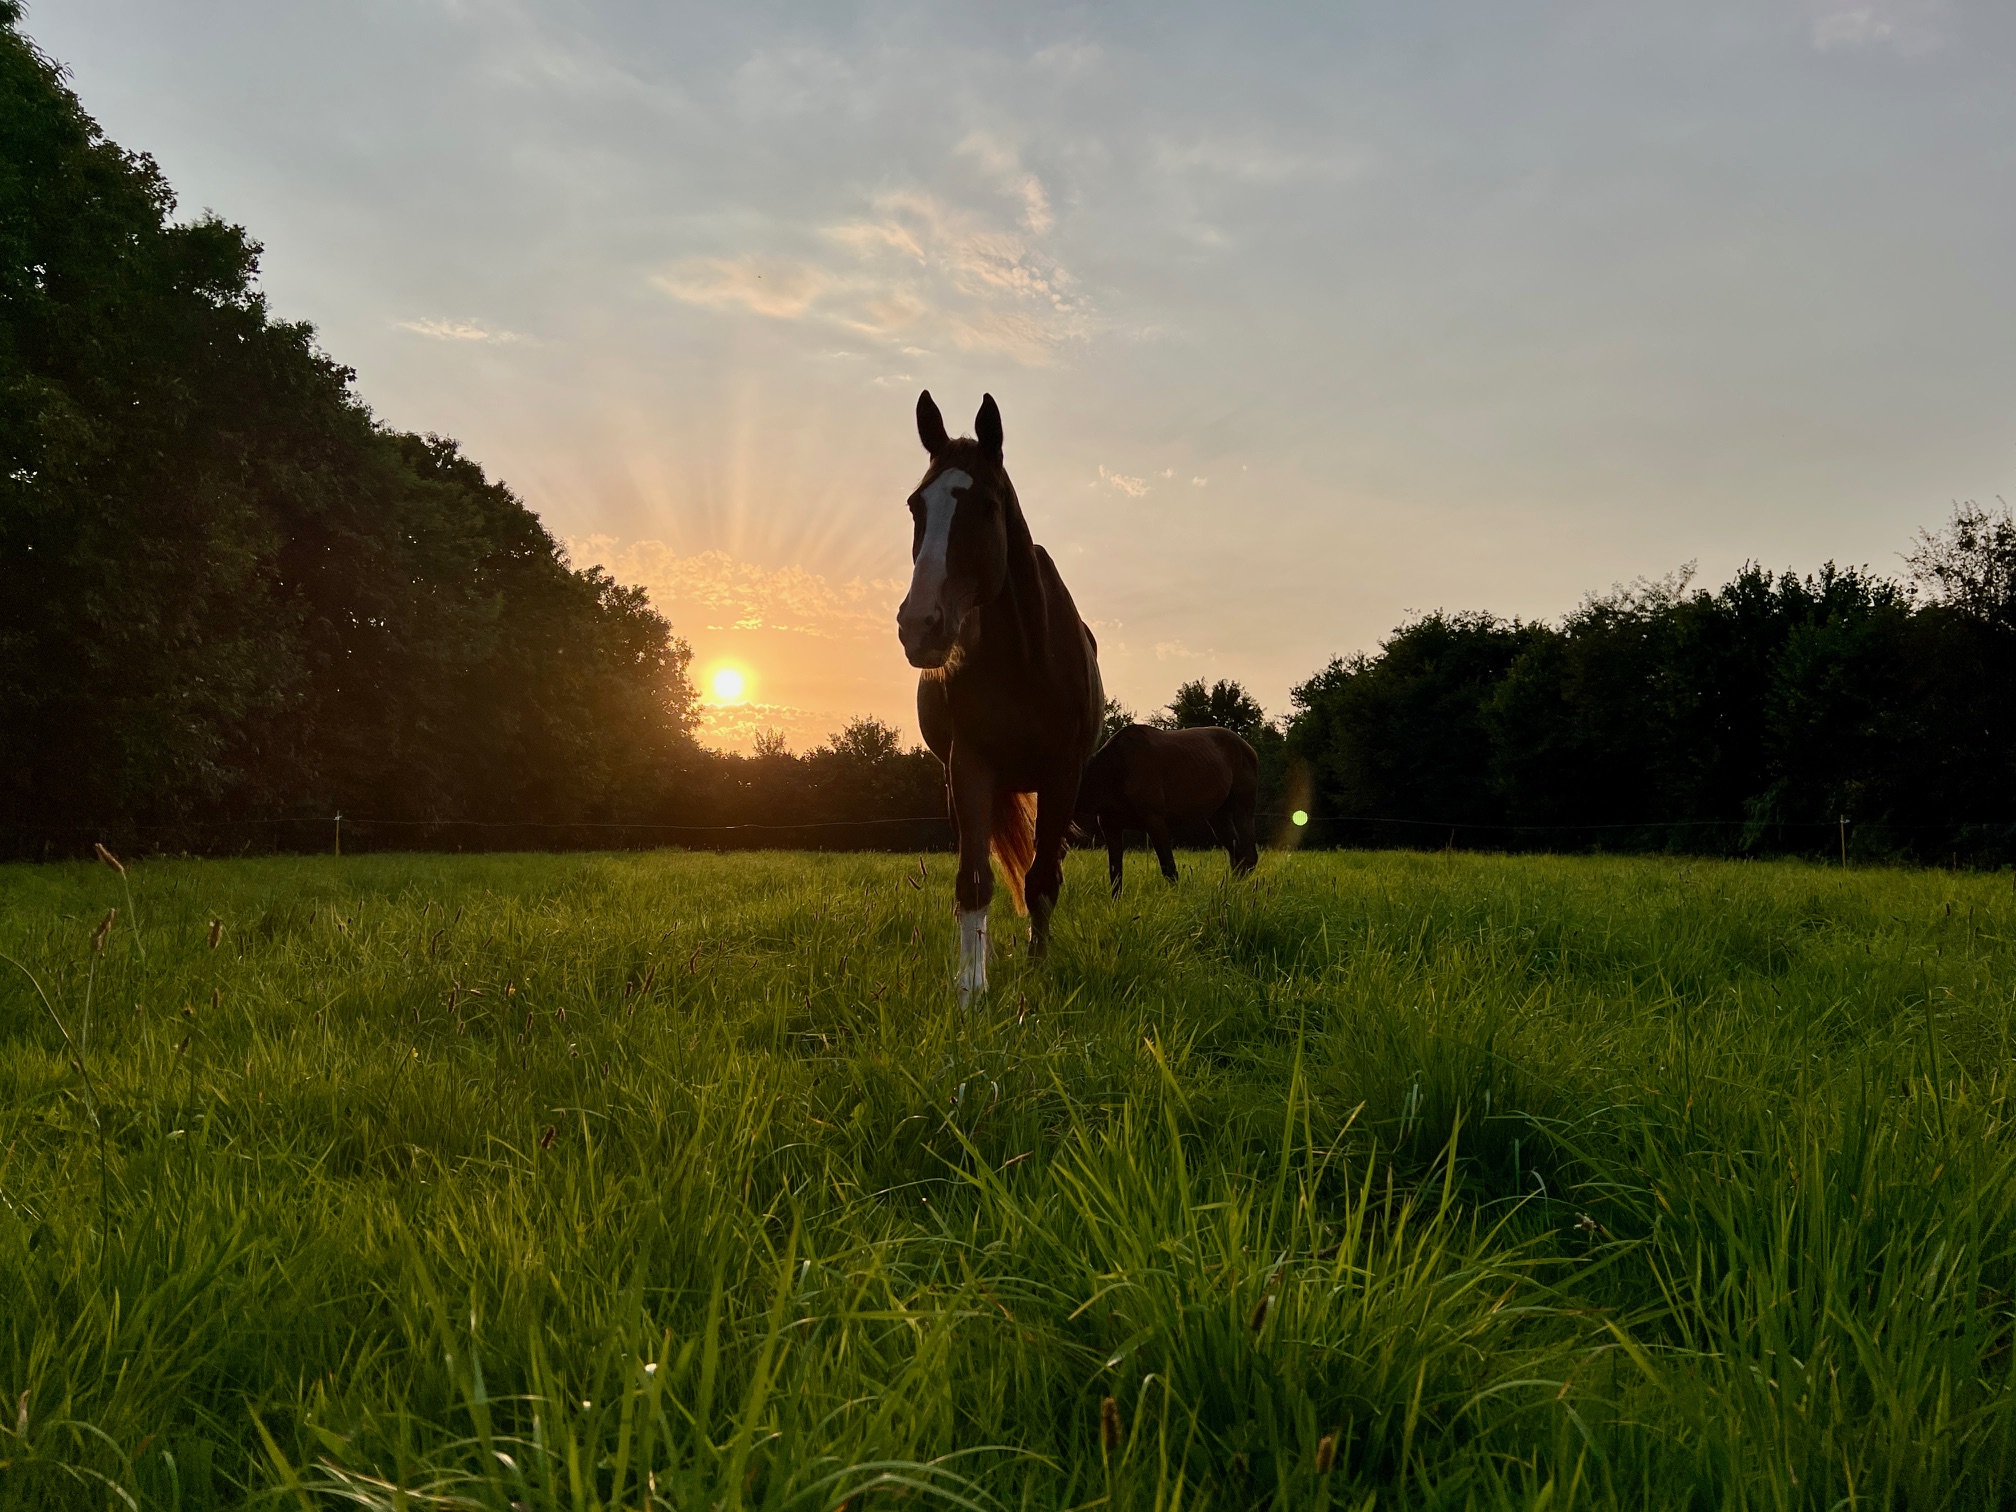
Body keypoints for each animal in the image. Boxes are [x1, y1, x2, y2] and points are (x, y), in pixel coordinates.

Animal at [896, 391, 1104, 1004]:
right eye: (916, 506)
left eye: (987, 506)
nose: (920, 625)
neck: (1026, 659)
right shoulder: (969, 765)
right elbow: (973, 881)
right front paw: (970, 990)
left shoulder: (1062, 773)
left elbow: (1042, 881)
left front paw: (1038, 972)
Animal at [1075, 724, 1259, 895]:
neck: (1117, 768)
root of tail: (1248, 748)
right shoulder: (1110, 827)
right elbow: (1115, 874)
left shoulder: (1155, 821)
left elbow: (1169, 869)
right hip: (1218, 816)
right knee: (1237, 856)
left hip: (1243, 809)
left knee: (1248, 856)